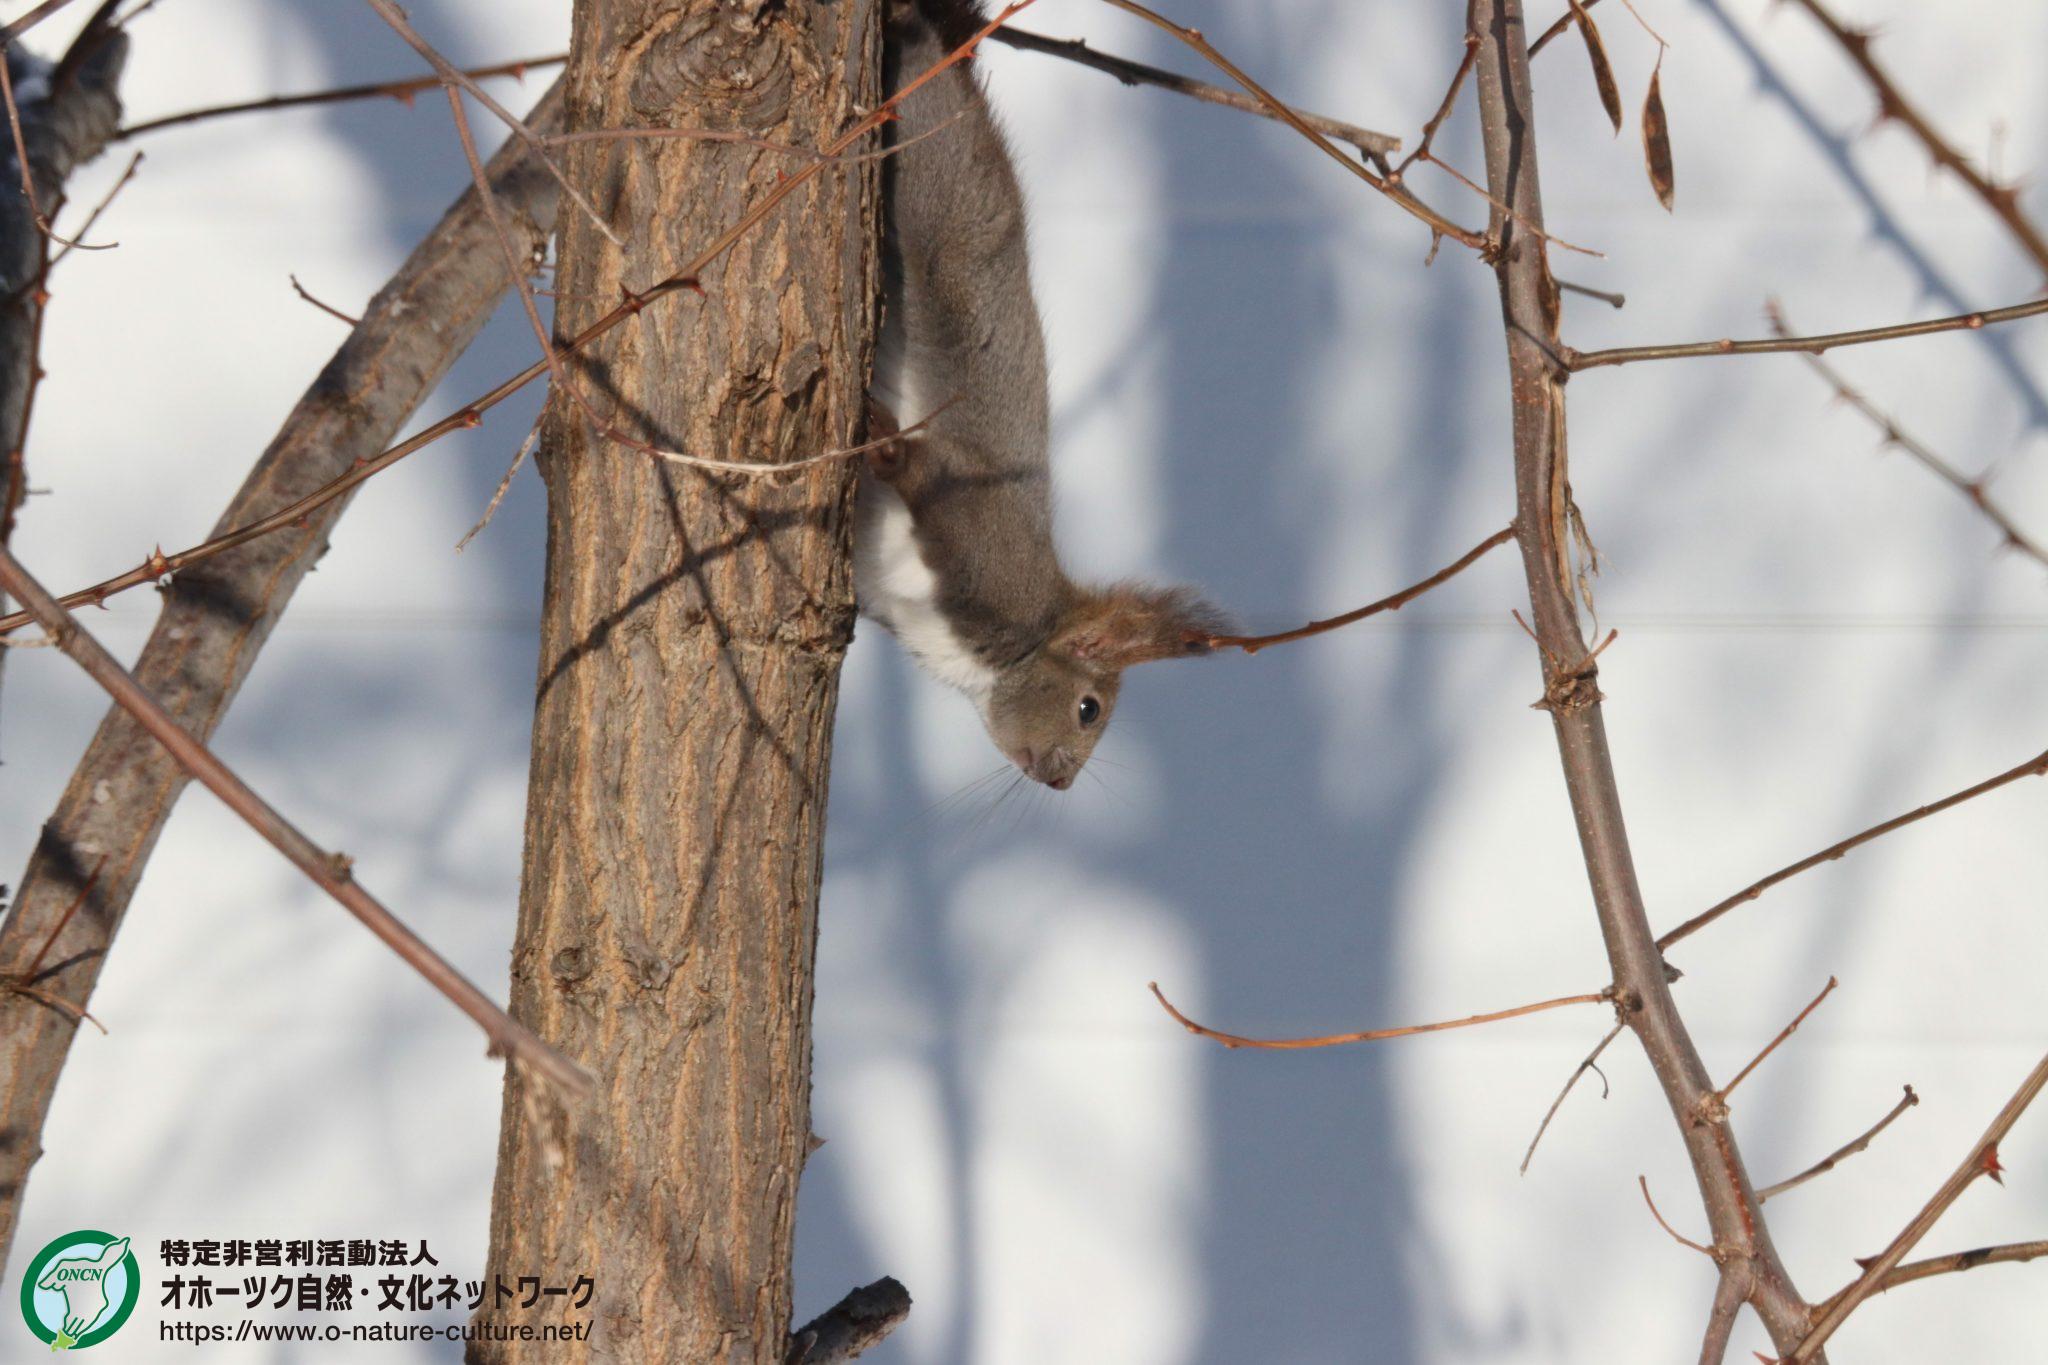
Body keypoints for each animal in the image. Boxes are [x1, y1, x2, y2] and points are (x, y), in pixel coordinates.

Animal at [856, 0, 1220, 789]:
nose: (1059, 781)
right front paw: (884, 443)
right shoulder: (983, 533)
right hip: (939, 194)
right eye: (1089, 709)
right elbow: (927, 467)